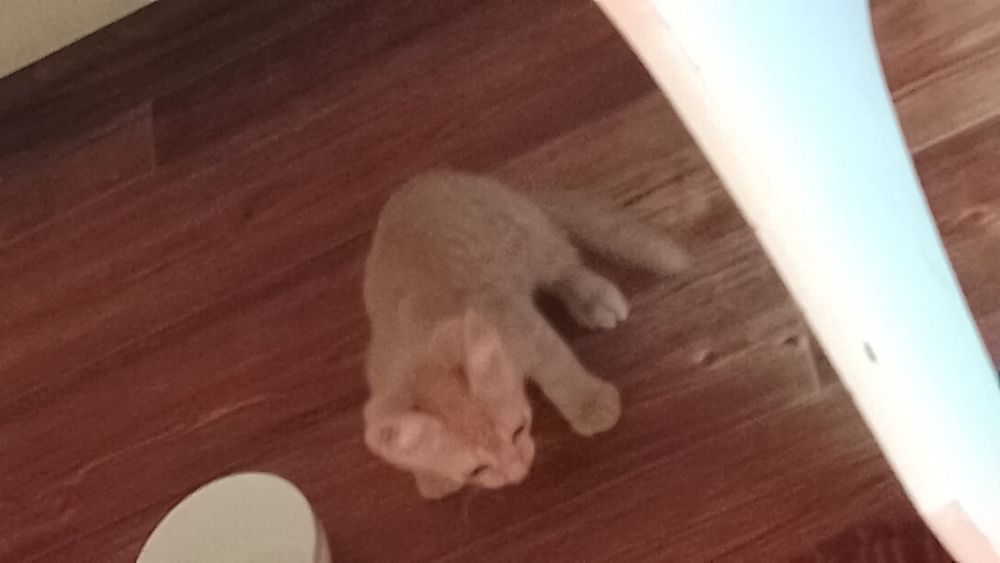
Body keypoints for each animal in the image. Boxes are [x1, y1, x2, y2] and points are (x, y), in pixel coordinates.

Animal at [361, 170, 688, 499]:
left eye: (519, 430)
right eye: (476, 471)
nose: (517, 473)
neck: (417, 339)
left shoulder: (513, 316)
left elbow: (556, 365)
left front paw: (590, 404)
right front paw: (429, 476)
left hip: (530, 242)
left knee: (565, 264)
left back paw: (593, 297)